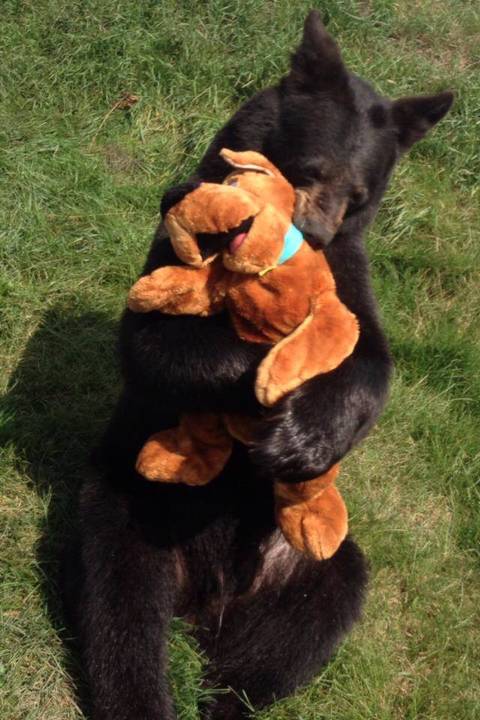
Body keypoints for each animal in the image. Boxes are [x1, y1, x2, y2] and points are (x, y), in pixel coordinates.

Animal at [64, 11, 454, 720]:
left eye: (361, 192)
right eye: (310, 168)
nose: (317, 237)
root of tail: (204, 597)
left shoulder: (351, 275)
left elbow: (371, 362)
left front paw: (303, 434)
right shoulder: (171, 251)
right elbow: (154, 341)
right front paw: (263, 360)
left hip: (304, 563)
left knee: (300, 630)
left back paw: (228, 694)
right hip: (125, 505)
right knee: (121, 615)